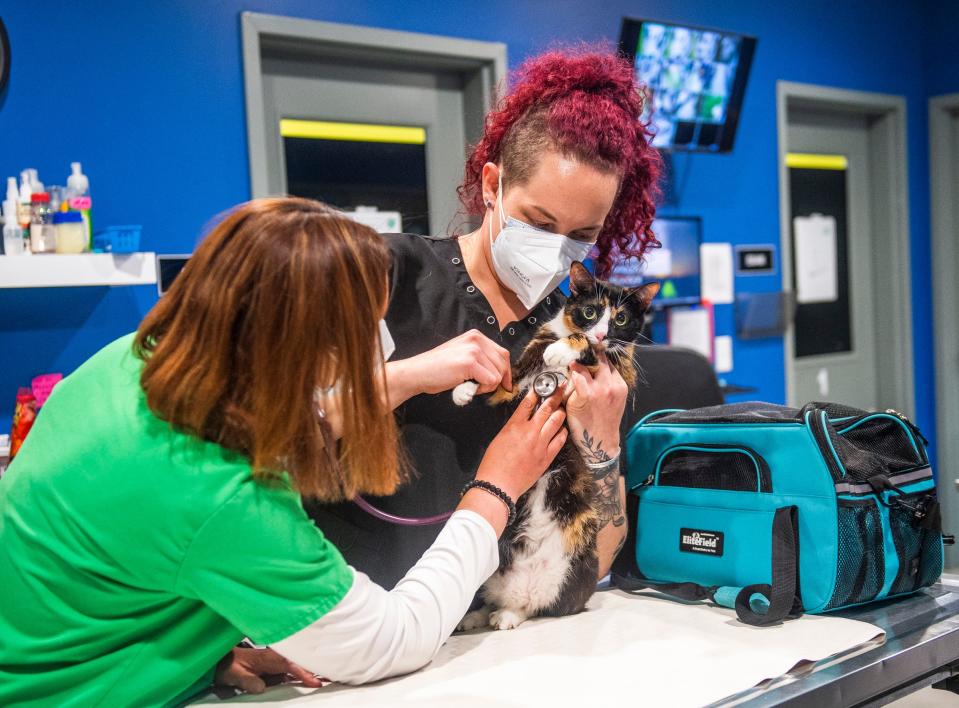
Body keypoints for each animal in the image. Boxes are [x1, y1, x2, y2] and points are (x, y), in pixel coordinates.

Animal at [452, 262, 660, 628]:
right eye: (590, 311)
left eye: (621, 319)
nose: (601, 333)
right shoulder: (522, 372)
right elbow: (502, 377)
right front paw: (465, 387)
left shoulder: (616, 365)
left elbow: (588, 349)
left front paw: (565, 349)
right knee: (491, 597)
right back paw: (476, 616)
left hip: (581, 566)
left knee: (540, 605)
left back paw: (508, 615)